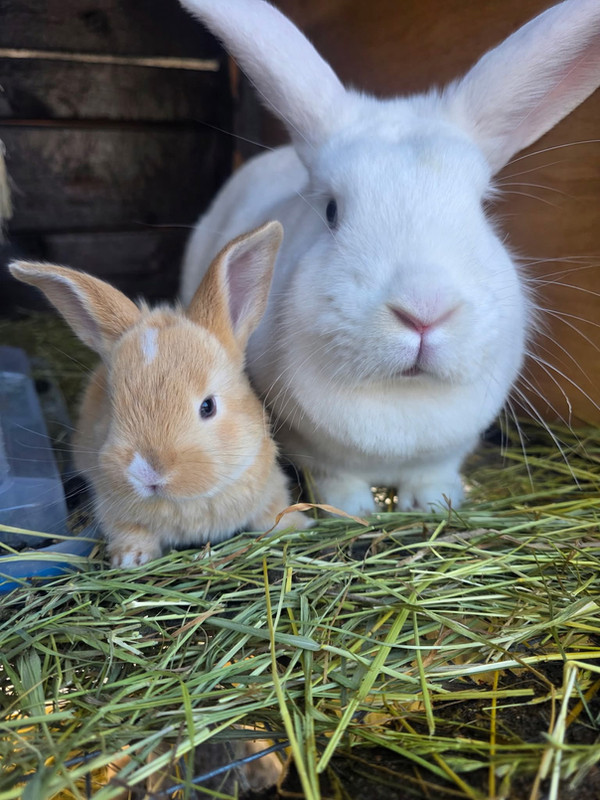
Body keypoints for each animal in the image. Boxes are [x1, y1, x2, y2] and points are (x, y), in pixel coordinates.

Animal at [9, 221, 309, 568]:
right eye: (113, 405)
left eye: (208, 406)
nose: (148, 474)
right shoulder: (110, 506)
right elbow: (129, 531)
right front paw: (130, 558)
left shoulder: (271, 486)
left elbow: (273, 512)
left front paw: (297, 525)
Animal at [176, 0, 600, 517]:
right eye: (331, 211)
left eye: (481, 208)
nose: (423, 312)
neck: (402, 394)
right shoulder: (317, 452)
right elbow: (337, 479)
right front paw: (358, 511)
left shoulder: (444, 453)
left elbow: (432, 474)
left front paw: (435, 505)